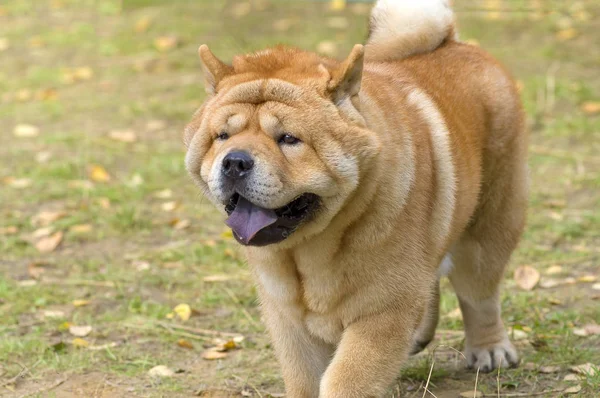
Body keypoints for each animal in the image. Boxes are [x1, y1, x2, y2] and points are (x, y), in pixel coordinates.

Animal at [183, 0, 524, 394]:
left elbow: (346, 379)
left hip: (489, 225)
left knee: (478, 292)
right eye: (222, 136)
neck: (309, 251)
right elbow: (303, 380)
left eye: (289, 139)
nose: (235, 161)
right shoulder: (288, 319)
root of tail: (455, 42)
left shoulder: (381, 311)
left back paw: (490, 349)